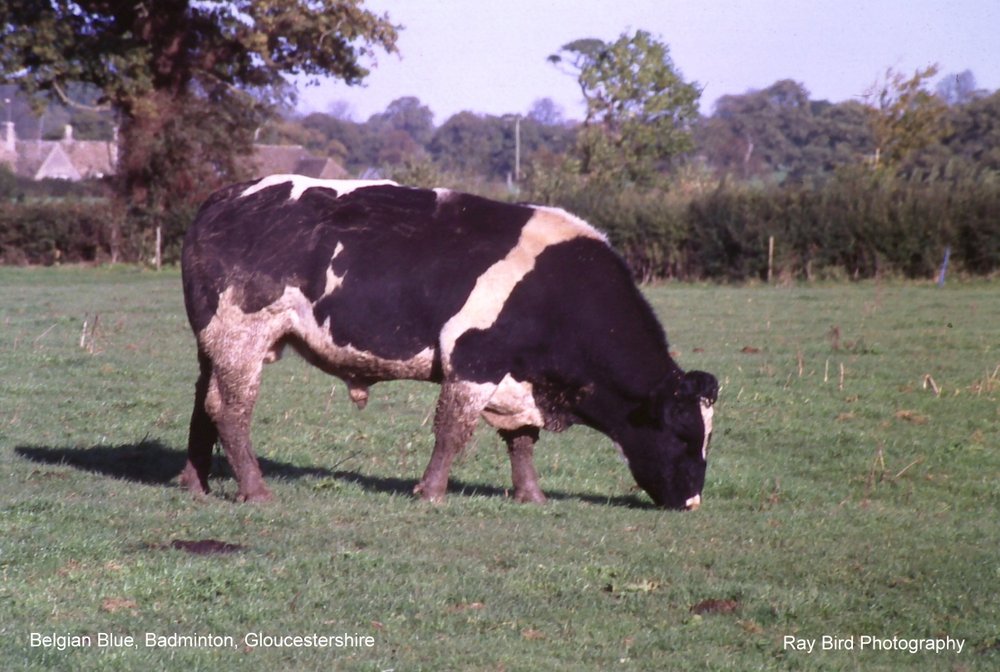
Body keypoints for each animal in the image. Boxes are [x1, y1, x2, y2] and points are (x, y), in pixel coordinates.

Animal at [176, 173, 716, 510]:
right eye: (684, 435)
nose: (692, 501)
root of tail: (225, 197)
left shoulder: (517, 378)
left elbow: (522, 439)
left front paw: (531, 495)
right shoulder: (473, 360)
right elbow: (453, 431)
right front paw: (432, 492)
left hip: (212, 344)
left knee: (203, 405)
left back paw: (194, 483)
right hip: (242, 337)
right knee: (231, 410)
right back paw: (255, 490)